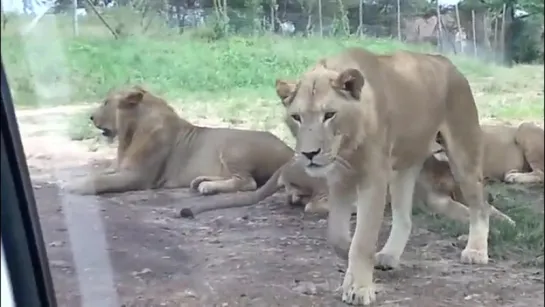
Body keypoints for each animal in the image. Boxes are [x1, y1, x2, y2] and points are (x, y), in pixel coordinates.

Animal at [62, 86, 298, 197]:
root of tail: (290, 151)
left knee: (248, 182)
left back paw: (208, 187)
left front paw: (75, 186)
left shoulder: (138, 176)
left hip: (233, 147)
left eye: (106, 102)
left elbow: (101, 180)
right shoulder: (122, 167)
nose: (91, 117)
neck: (129, 134)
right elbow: (98, 173)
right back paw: (200, 181)